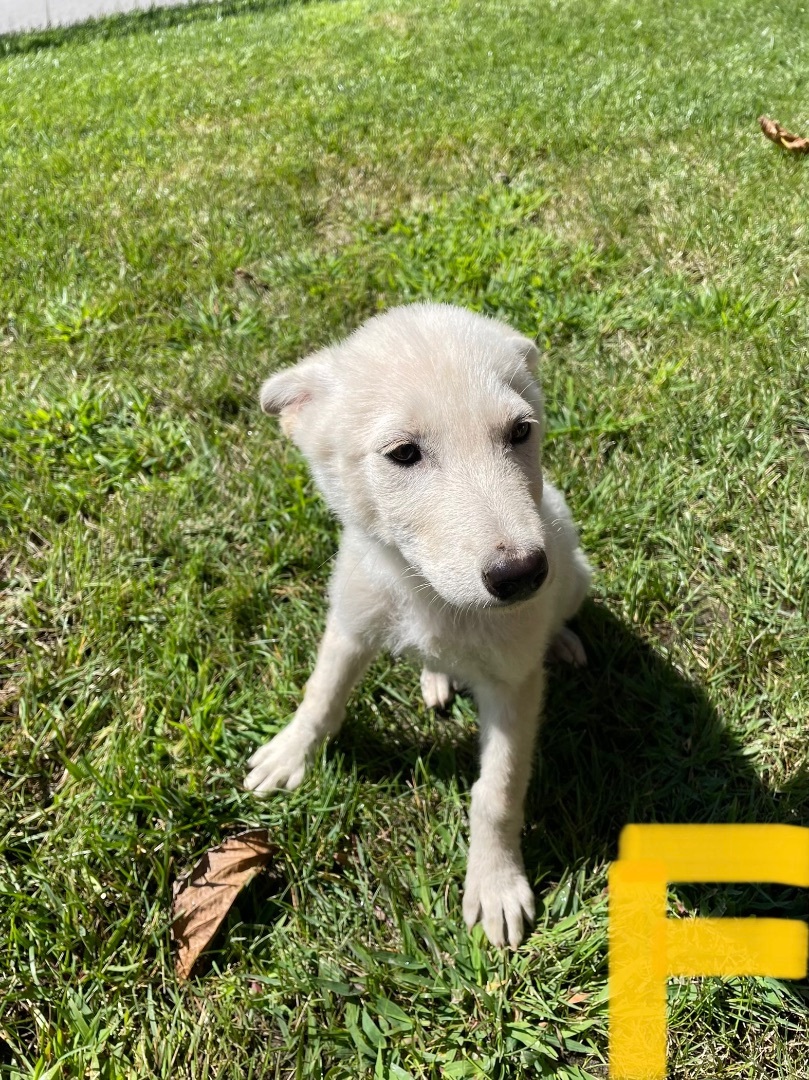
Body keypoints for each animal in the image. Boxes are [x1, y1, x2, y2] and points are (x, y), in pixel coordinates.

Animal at [243, 302, 591, 946]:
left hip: (574, 571)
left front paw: (495, 883)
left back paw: (558, 640)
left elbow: (497, 790)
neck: (430, 597)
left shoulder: (513, 685)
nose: (523, 574)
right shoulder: (351, 621)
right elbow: (321, 696)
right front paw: (290, 752)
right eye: (404, 453)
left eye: (520, 432)